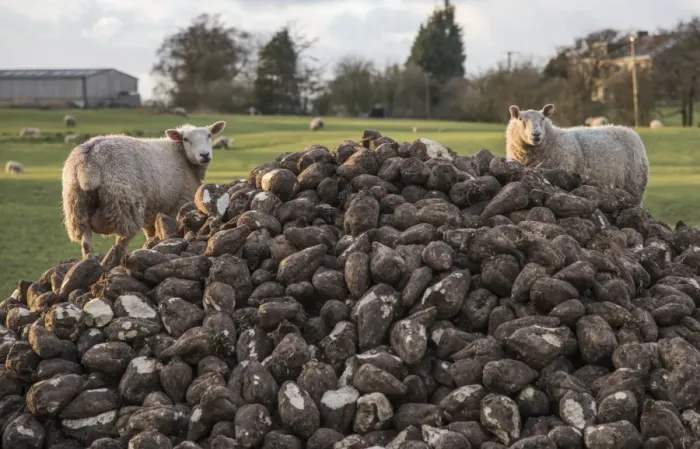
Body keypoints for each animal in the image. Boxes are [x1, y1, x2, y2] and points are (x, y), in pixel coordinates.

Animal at [62, 120, 226, 270]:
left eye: (209, 135)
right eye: (186, 139)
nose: (204, 155)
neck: (181, 156)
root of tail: (89, 160)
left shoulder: (151, 211)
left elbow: (151, 234)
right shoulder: (176, 204)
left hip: (77, 209)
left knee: (86, 244)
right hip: (125, 205)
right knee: (120, 244)